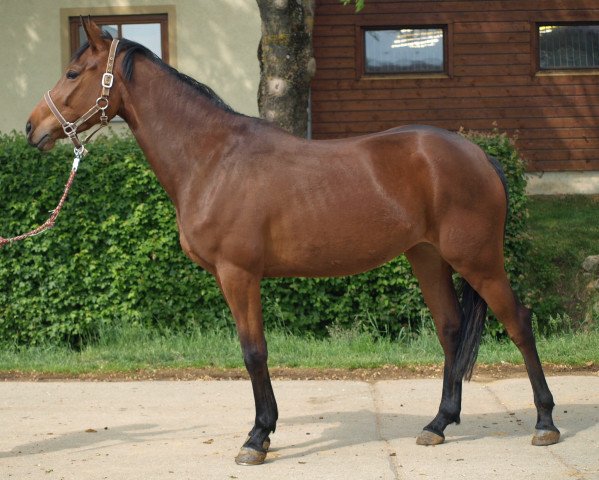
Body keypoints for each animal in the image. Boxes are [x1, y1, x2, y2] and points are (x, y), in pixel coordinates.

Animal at [24, 20, 564, 466]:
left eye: (73, 73)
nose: (33, 128)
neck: (213, 158)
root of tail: (479, 154)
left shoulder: (239, 275)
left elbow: (254, 352)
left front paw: (257, 438)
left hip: (478, 259)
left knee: (518, 322)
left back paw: (544, 423)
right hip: (427, 257)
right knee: (451, 329)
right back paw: (438, 424)